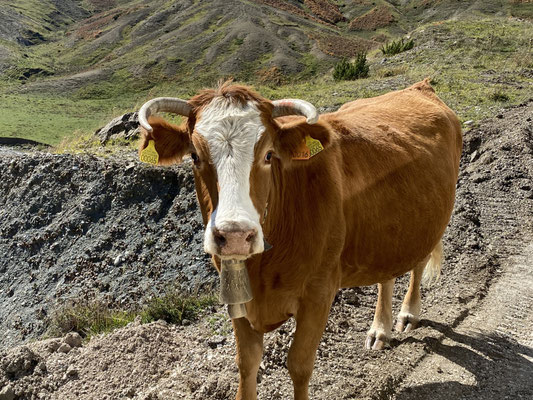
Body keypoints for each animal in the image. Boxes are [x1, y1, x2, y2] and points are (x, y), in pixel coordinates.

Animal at [137, 79, 462, 400]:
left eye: (269, 155)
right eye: (194, 156)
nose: (235, 235)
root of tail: (419, 87)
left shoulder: (319, 292)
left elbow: (299, 364)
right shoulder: (236, 291)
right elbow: (247, 363)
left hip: (429, 223)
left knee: (418, 263)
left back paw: (408, 314)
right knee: (387, 275)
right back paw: (380, 329)